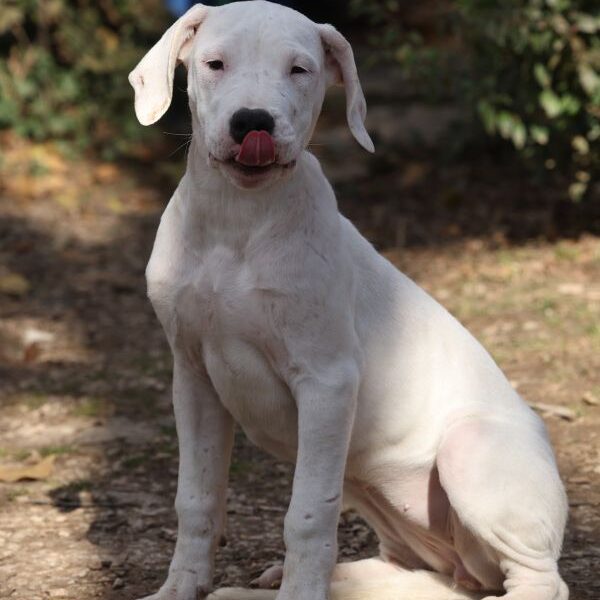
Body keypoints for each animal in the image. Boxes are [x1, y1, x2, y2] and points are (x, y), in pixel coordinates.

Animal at [129, 1, 568, 600]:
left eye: (300, 70)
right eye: (214, 64)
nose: (253, 122)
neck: (239, 220)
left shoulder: (327, 382)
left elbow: (308, 516)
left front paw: (297, 592)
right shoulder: (193, 377)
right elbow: (196, 499)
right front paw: (180, 587)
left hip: (468, 449)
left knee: (539, 579)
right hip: (376, 494)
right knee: (415, 572)